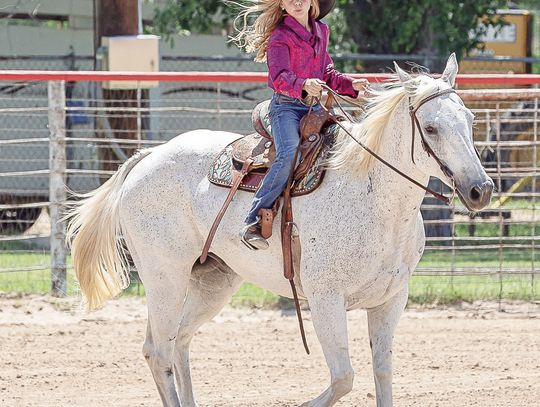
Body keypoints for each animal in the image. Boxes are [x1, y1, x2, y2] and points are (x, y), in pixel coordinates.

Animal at [64, 55, 494, 407]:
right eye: (431, 128)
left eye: (471, 121)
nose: (481, 189)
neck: (375, 199)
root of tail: (149, 156)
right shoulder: (324, 298)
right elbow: (344, 377)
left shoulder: (391, 299)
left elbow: (381, 372)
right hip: (164, 278)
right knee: (158, 350)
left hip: (212, 281)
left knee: (179, 343)